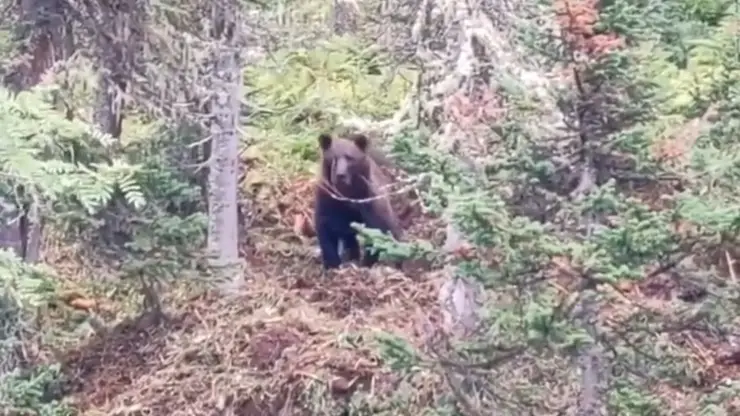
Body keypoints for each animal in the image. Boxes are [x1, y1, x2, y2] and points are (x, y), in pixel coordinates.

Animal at [314, 132, 403, 270]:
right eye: (333, 157)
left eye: (350, 158)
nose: (340, 175)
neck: (347, 196)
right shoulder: (327, 201)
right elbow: (326, 231)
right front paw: (333, 263)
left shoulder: (369, 201)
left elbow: (376, 229)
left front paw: (366, 262)